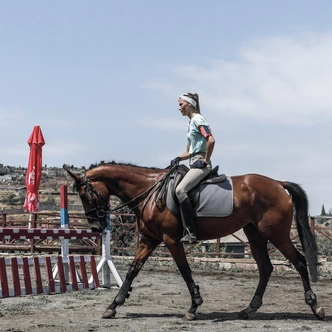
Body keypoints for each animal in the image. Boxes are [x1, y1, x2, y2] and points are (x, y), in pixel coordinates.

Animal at [66, 162, 326, 320]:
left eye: (84, 194)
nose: (96, 227)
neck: (149, 190)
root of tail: (278, 183)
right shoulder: (149, 240)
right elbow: (132, 270)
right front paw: (113, 305)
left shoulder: (171, 240)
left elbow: (185, 270)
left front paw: (194, 306)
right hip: (255, 235)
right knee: (265, 267)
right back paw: (249, 308)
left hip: (276, 234)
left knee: (299, 262)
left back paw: (315, 306)